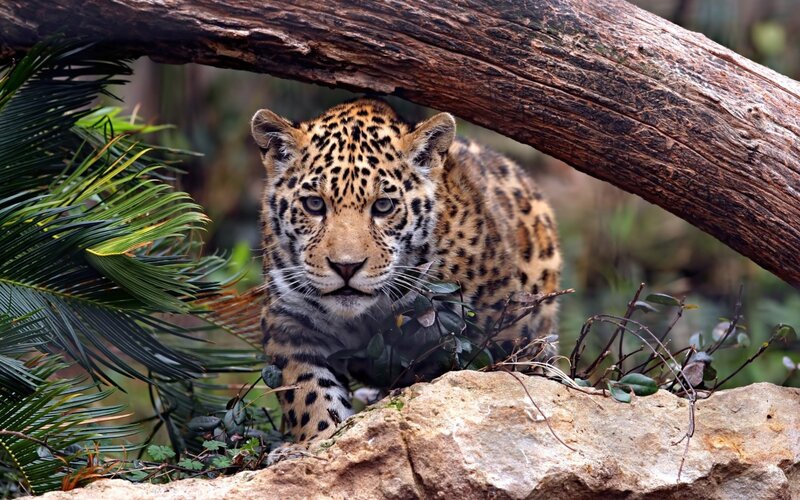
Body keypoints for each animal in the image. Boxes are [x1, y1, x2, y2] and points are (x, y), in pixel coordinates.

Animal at [251, 98, 561, 443]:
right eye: (314, 204)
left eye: (384, 206)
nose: (346, 266)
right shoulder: (289, 322)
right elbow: (308, 392)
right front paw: (319, 438)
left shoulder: (499, 329)